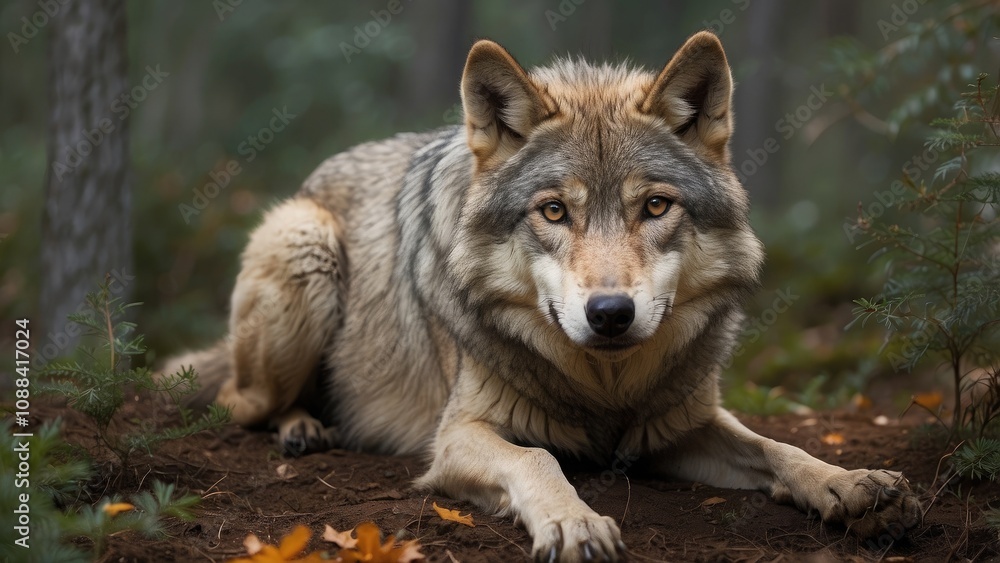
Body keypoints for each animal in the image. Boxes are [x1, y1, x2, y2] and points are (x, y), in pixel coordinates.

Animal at [165, 32, 922, 561]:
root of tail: (315, 179)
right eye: (554, 212)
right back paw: (301, 426)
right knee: (240, 399)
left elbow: (780, 449)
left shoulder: (677, 427)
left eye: (655, 206)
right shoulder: (458, 436)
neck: (604, 391)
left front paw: (852, 483)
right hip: (305, 245)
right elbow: (539, 458)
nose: (610, 313)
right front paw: (573, 519)